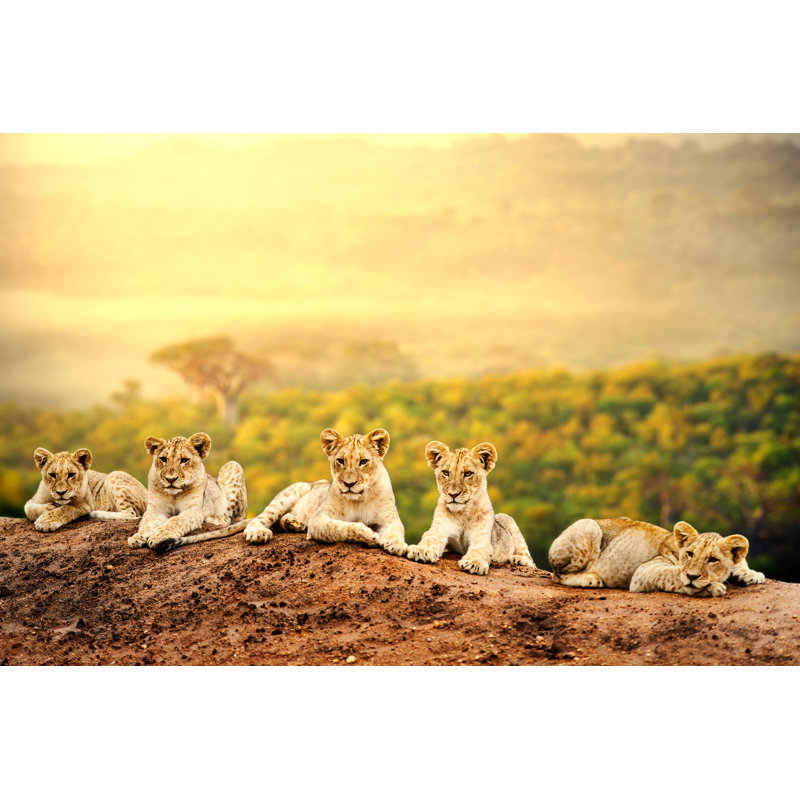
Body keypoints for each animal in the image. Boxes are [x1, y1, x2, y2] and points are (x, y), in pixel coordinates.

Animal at [244, 427, 407, 556]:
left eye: (363, 461)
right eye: (340, 461)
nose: (349, 484)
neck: (359, 500)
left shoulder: (390, 519)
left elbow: (396, 530)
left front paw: (397, 545)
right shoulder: (318, 519)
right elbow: (341, 527)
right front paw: (368, 534)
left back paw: (294, 523)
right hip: (288, 495)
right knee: (261, 518)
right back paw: (257, 532)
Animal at [406, 441, 536, 575]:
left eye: (468, 474)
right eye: (446, 473)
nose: (453, 494)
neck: (462, 513)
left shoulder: (482, 539)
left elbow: (479, 550)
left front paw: (474, 563)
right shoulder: (439, 530)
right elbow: (429, 538)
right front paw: (420, 550)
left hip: (508, 521)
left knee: (531, 561)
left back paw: (519, 560)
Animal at [549, 517, 766, 596]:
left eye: (713, 559)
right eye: (690, 554)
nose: (693, 576)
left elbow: (740, 561)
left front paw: (751, 574)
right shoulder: (643, 573)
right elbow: (674, 574)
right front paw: (710, 586)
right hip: (589, 526)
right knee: (557, 575)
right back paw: (591, 579)